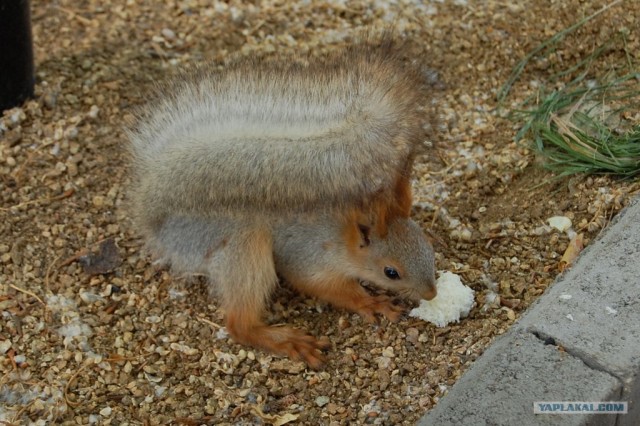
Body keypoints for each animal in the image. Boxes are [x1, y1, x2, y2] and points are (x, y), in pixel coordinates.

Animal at [126, 39, 436, 366]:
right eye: (391, 272)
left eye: (427, 246)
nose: (431, 294)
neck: (337, 234)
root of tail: (160, 224)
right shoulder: (308, 259)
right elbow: (329, 288)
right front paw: (371, 303)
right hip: (241, 244)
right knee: (239, 324)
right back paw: (287, 341)